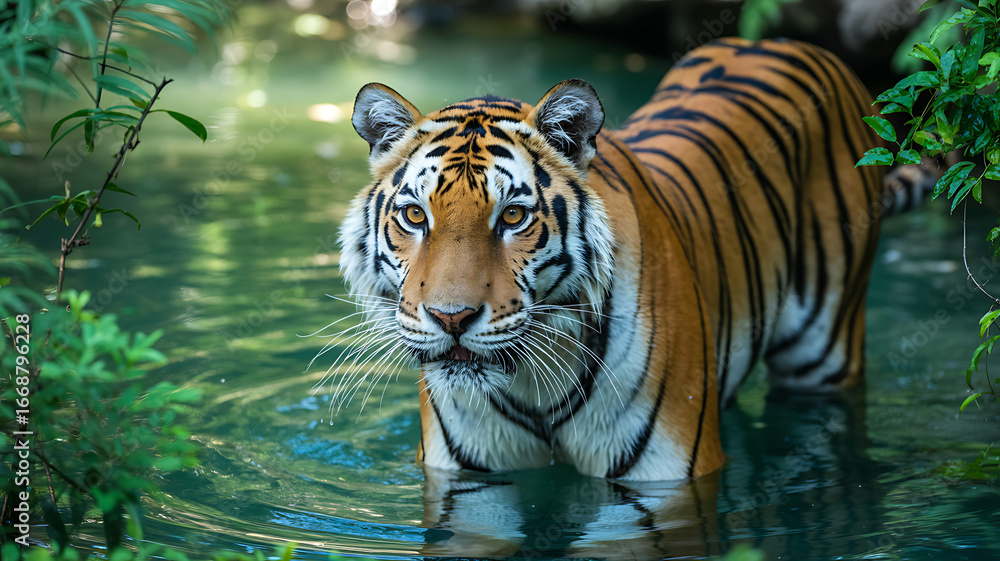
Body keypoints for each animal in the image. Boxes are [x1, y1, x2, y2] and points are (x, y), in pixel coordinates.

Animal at [333, 37, 927, 481]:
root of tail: (788, 42)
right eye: (415, 216)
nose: (450, 318)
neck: (532, 386)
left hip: (825, 352)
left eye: (513, 217)